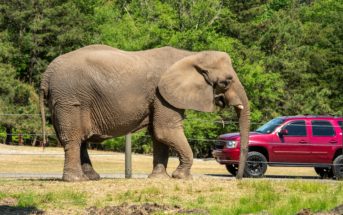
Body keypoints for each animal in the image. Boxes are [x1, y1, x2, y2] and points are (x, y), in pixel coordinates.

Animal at [39, 45, 250, 181]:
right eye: (226, 81)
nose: (238, 179)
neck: (191, 56)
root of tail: (46, 74)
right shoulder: (162, 95)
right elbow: (165, 130)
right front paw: (181, 177)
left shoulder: (160, 97)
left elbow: (158, 135)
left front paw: (159, 179)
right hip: (70, 99)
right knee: (74, 138)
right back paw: (76, 180)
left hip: (64, 101)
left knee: (79, 139)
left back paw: (91, 178)